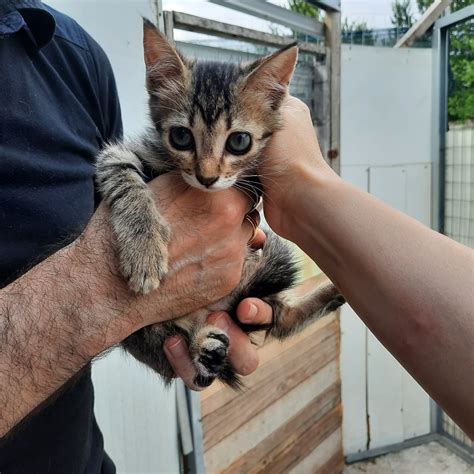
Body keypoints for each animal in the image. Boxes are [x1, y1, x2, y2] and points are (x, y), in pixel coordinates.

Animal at [95, 19, 344, 388]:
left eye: (239, 141)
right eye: (180, 137)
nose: (207, 177)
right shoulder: (119, 154)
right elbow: (124, 178)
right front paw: (144, 250)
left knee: (282, 320)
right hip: (145, 332)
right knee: (178, 340)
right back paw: (203, 347)